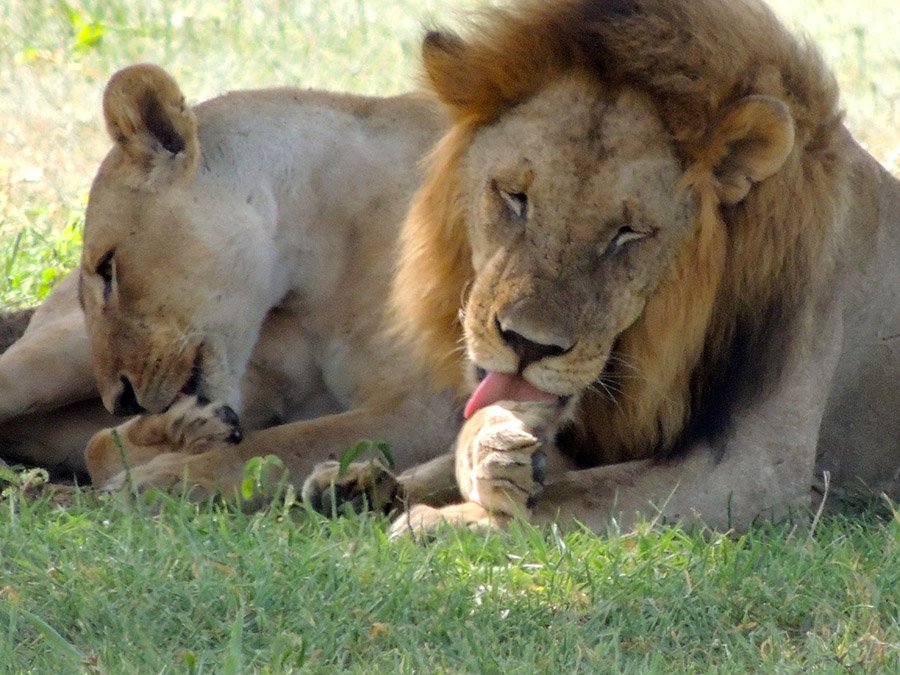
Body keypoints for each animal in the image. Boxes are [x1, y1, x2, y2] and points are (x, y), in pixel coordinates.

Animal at [0, 63, 459, 487]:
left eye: (108, 266)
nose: (122, 401)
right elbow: (107, 446)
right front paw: (178, 435)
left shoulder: (424, 410)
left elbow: (276, 448)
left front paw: (161, 479)